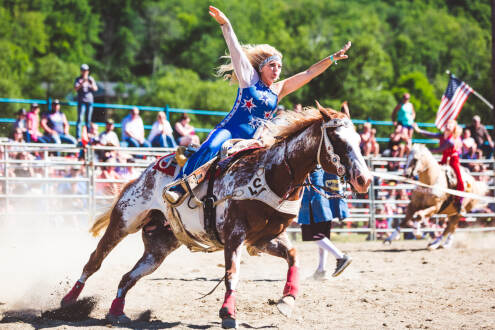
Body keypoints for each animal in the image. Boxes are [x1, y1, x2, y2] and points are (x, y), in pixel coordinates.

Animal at [61, 102, 372, 328]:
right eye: (337, 139)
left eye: (358, 140)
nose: (364, 179)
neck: (272, 173)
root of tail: (145, 172)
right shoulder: (235, 234)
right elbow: (232, 274)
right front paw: (227, 313)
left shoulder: (264, 238)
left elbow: (293, 256)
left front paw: (287, 301)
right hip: (124, 220)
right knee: (95, 260)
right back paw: (69, 301)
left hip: (159, 247)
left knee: (128, 277)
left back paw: (116, 313)